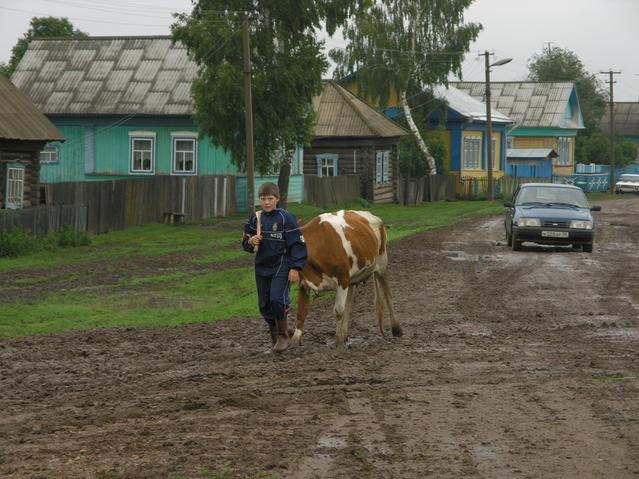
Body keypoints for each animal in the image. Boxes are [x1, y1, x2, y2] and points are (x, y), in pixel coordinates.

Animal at [292, 208, 402, 346]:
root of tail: (371, 215)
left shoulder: (342, 278)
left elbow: (339, 310)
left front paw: (338, 339)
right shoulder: (304, 283)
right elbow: (301, 312)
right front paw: (293, 343)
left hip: (382, 264)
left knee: (388, 294)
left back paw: (396, 329)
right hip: (353, 277)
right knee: (349, 302)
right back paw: (345, 335)